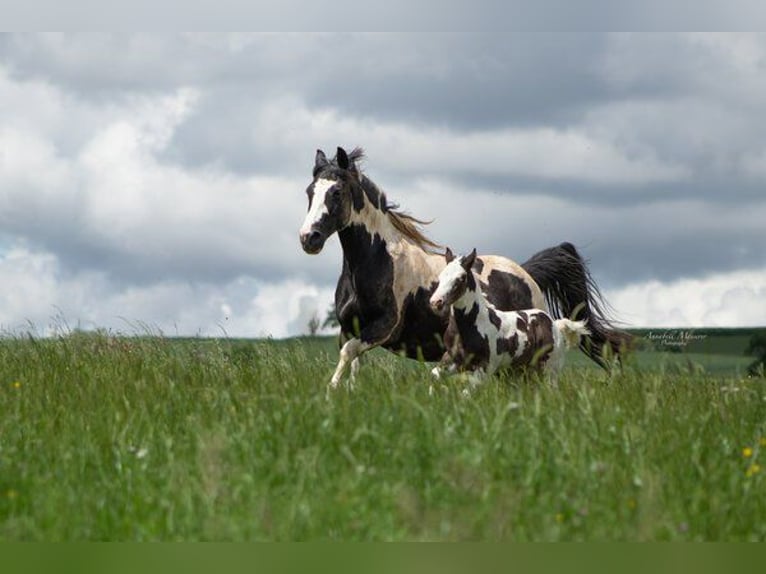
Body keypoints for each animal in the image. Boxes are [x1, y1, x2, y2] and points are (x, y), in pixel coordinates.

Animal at [428, 250, 592, 390]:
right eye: (441, 277)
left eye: (460, 278)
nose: (436, 302)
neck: (471, 327)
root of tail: (555, 324)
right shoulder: (453, 361)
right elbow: (434, 376)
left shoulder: (485, 368)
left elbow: (467, 392)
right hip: (526, 370)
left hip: (549, 370)